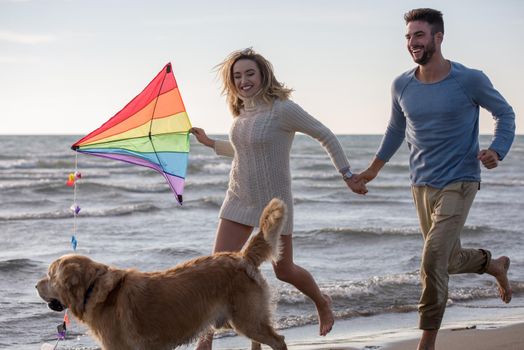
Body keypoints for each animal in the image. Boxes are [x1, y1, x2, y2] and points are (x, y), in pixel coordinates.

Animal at [36, 200, 288, 350]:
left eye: (49, 275)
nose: (35, 285)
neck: (93, 289)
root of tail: (242, 256)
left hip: (248, 319)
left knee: (279, 341)